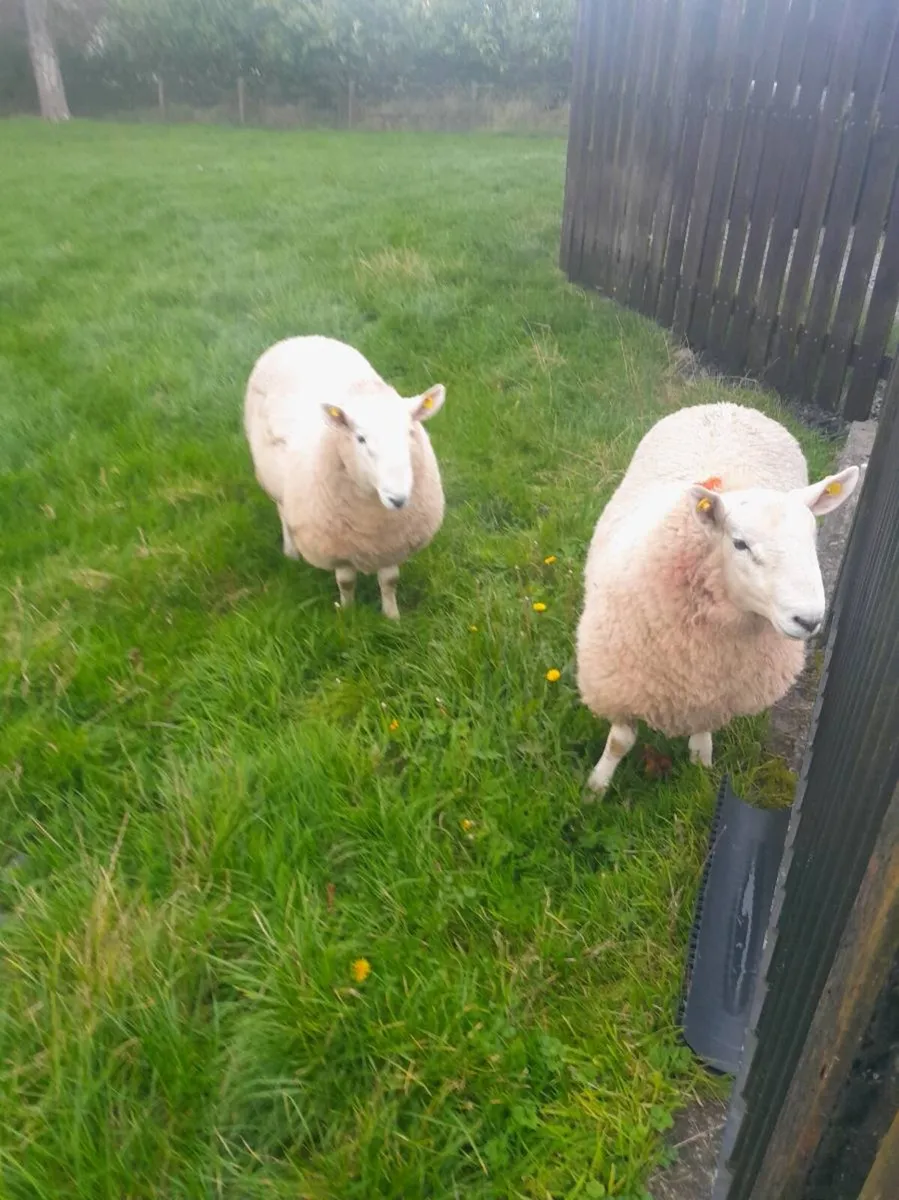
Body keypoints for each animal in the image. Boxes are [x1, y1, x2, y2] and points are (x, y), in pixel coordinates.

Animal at [244, 335, 446, 618]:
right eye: (360, 438)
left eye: (409, 431)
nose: (398, 498)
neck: (374, 520)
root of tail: (299, 338)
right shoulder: (337, 548)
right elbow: (346, 581)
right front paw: (348, 613)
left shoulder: (393, 544)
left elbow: (389, 581)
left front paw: (392, 617)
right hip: (274, 483)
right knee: (283, 512)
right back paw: (291, 552)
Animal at [575, 401, 860, 794]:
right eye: (740, 543)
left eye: (812, 537)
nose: (809, 619)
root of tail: (731, 406)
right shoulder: (619, 681)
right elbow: (620, 741)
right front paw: (596, 788)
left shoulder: (717, 689)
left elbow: (703, 731)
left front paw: (701, 767)